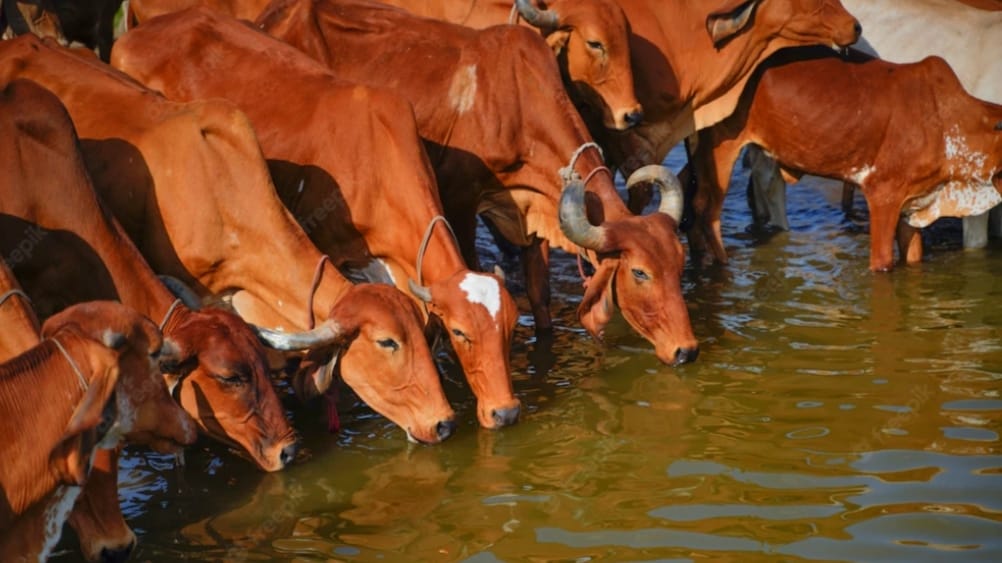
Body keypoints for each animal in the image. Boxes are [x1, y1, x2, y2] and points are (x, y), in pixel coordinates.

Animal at [252, 0, 699, 365]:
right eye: (640, 273)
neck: (515, 103)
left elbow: (539, 295)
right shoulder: (459, 203)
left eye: (680, 261)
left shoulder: (528, 212)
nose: (687, 350)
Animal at [685, 47, 1002, 272]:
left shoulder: (915, 204)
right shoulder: (883, 194)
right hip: (720, 149)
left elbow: (914, 258)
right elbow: (882, 263)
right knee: (708, 210)